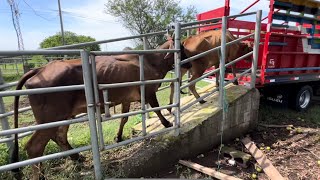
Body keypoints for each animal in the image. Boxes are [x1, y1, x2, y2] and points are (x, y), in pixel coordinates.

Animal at [12, 40, 191, 179]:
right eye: (181, 49)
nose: (189, 63)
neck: (150, 61)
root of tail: (40, 69)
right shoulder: (148, 92)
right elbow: (157, 109)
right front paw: (167, 123)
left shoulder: (127, 99)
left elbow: (124, 118)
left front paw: (118, 137)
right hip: (50, 117)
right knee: (34, 147)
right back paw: (43, 174)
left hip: (64, 116)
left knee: (60, 136)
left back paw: (77, 158)